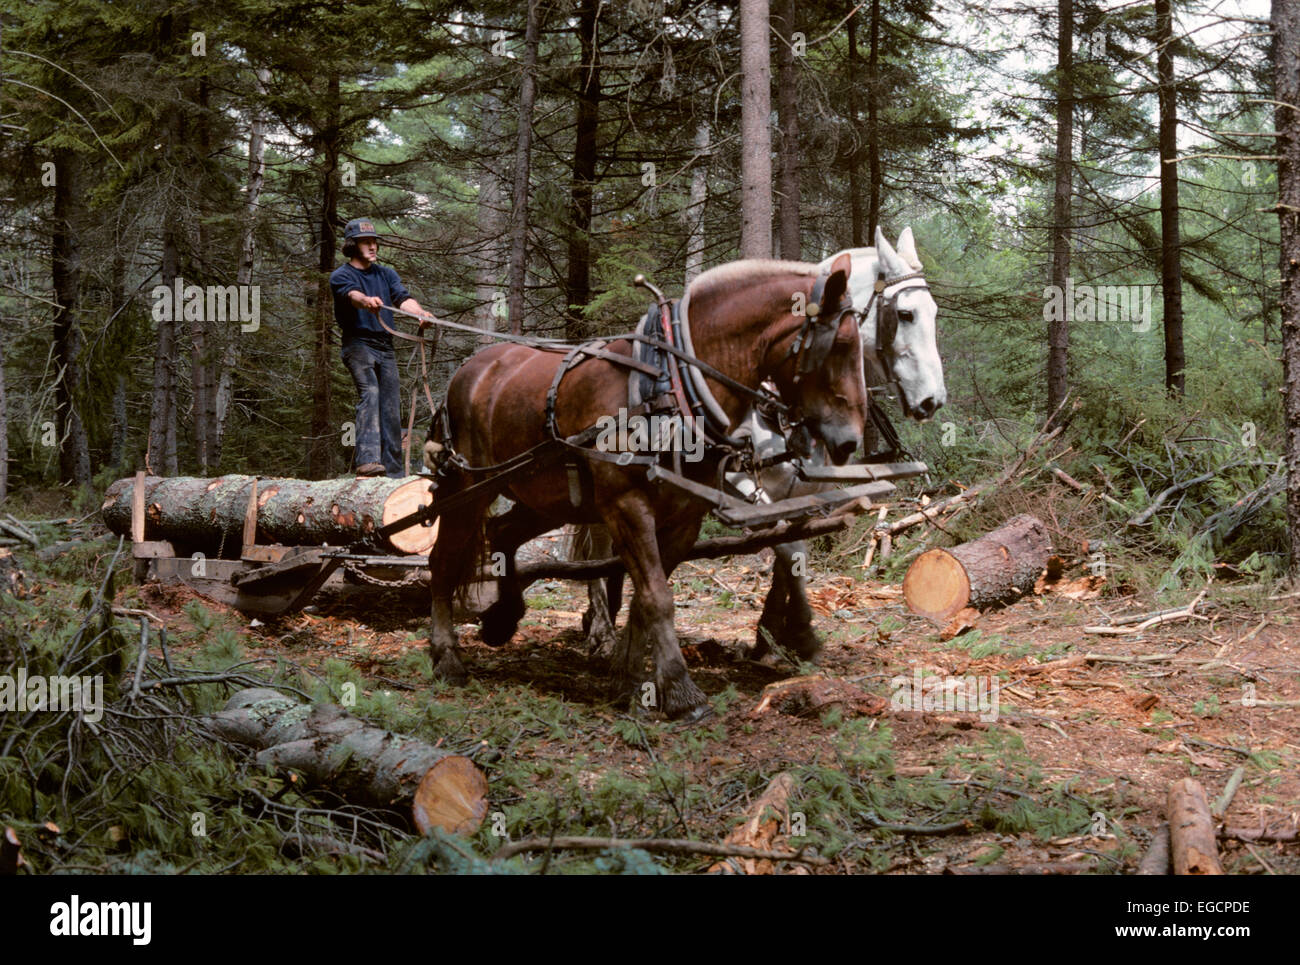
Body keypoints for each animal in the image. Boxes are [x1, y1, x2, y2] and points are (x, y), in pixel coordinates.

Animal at [431, 253, 868, 723]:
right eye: (842, 344)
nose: (849, 442)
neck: (670, 384)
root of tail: (469, 369)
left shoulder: (684, 517)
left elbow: (645, 598)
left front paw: (627, 677)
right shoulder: (627, 505)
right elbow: (658, 595)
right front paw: (680, 690)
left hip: (547, 498)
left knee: (502, 534)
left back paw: (503, 619)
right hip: (469, 486)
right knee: (443, 560)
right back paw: (446, 656)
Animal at [582, 226, 946, 660]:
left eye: (934, 312)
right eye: (905, 315)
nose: (933, 400)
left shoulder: (807, 492)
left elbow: (793, 555)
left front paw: (770, 632)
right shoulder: (741, 487)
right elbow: (789, 550)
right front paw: (800, 631)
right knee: (596, 545)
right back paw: (601, 627)